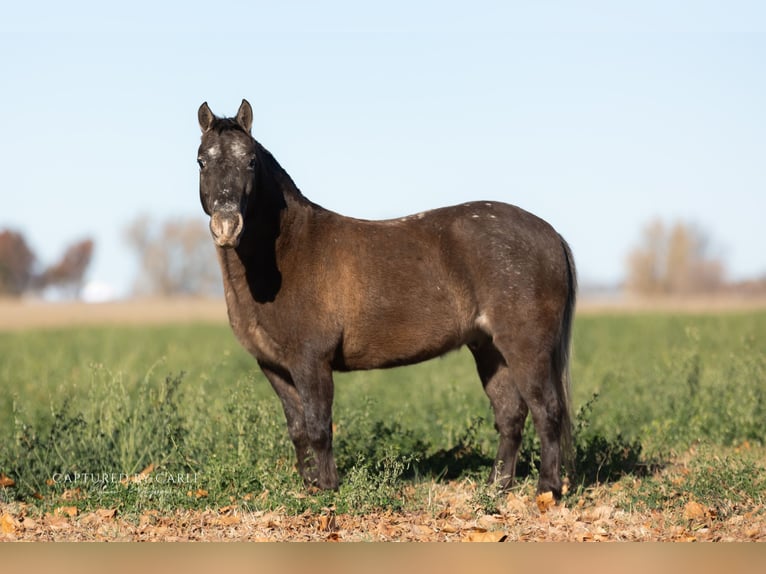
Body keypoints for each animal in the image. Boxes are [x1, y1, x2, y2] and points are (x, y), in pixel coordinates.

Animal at [197, 99, 577, 498]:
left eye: (250, 161)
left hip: (527, 348)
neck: (287, 254)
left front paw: (328, 489)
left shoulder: (311, 361)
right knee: (510, 415)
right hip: (490, 349)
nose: (226, 226)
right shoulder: (274, 366)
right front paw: (310, 487)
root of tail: (551, 233)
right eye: (202, 161)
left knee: (547, 410)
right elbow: (298, 428)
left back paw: (548, 489)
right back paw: (495, 487)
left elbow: (318, 426)